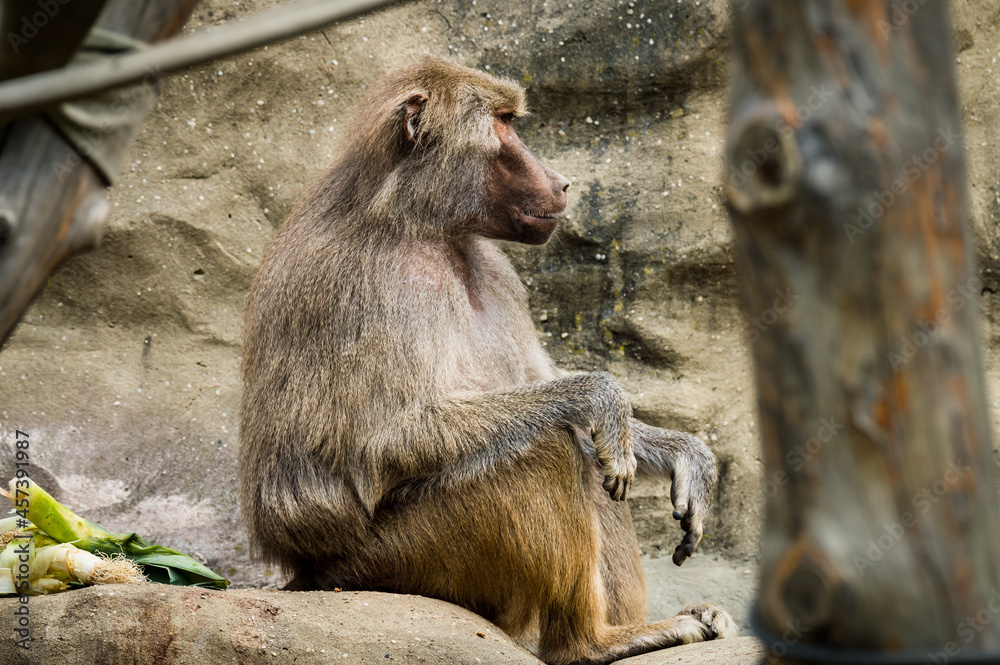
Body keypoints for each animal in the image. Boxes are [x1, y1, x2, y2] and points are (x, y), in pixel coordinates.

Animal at [239, 57, 735, 665]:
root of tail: (311, 576)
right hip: (400, 560)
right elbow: (388, 438)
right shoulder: (372, 283)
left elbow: (544, 391)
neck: (423, 221)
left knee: (592, 453)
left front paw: (687, 455)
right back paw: (593, 642)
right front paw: (601, 394)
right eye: (503, 124)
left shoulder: (497, 269)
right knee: (549, 449)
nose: (562, 182)